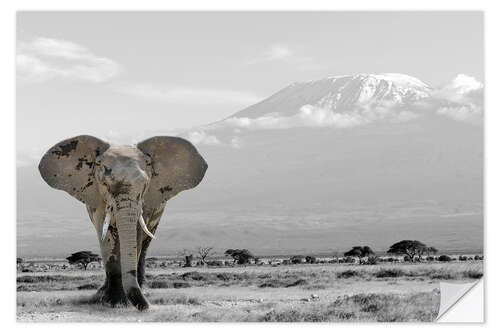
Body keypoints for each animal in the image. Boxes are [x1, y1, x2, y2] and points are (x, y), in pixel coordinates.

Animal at [38, 134, 207, 308]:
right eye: (105, 184)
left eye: (145, 185)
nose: (146, 307)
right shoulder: (98, 199)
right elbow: (105, 235)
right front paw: (111, 301)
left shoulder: (146, 202)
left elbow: (137, 235)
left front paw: (124, 301)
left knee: (145, 245)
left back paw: (144, 289)